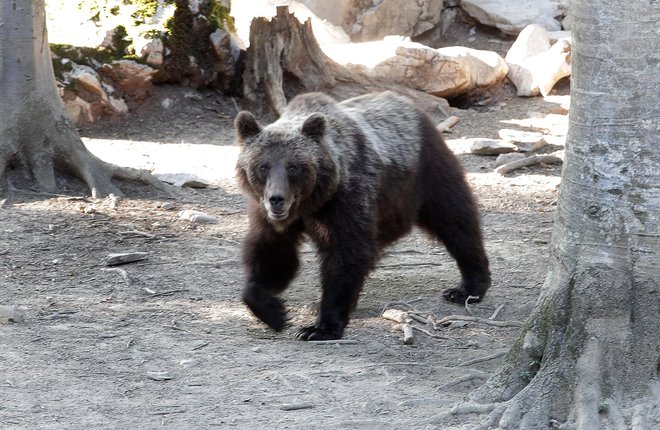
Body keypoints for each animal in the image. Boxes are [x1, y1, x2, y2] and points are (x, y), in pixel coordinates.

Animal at [235, 92, 488, 340]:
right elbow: (272, 253)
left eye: (294, 167)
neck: (310, 203)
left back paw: (467, 287)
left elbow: (346, 251)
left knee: (455, 220)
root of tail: (407, 103)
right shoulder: (268, 215)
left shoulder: (346, 196)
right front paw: (274, 312)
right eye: (263, 166)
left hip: (426, 170)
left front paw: (319, 327)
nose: (276, 198)